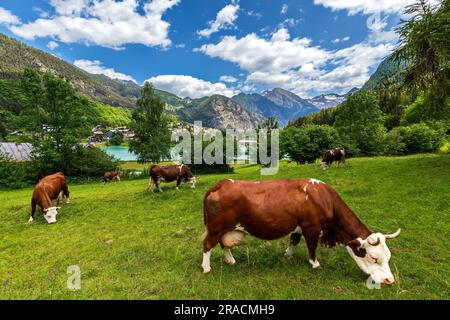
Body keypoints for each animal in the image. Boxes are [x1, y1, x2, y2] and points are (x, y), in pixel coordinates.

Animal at [200, 179, 400, 286]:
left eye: (388, 256)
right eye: (374, 257)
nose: (390, 280)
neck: (323, 197)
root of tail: (221, 183)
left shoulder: (298, 225)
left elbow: (294, 240)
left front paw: (288, 255)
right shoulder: (312, 226)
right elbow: (311, 246)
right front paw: (315, 264)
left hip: (225, 228)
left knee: (223, 244)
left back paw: (231, 260)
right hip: (216, 227)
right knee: (208, 245)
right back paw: (206, 268)